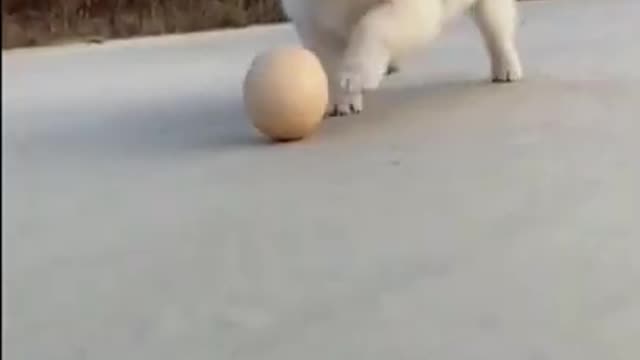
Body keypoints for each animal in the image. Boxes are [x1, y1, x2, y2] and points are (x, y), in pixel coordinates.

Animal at [282, 0, 524, 116]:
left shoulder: (410, 7)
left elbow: (373, 24)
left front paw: (357, 76)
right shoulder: (313, 19)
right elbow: (328, 63)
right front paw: (342, 103)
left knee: (496, 26)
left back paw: (507, 70)